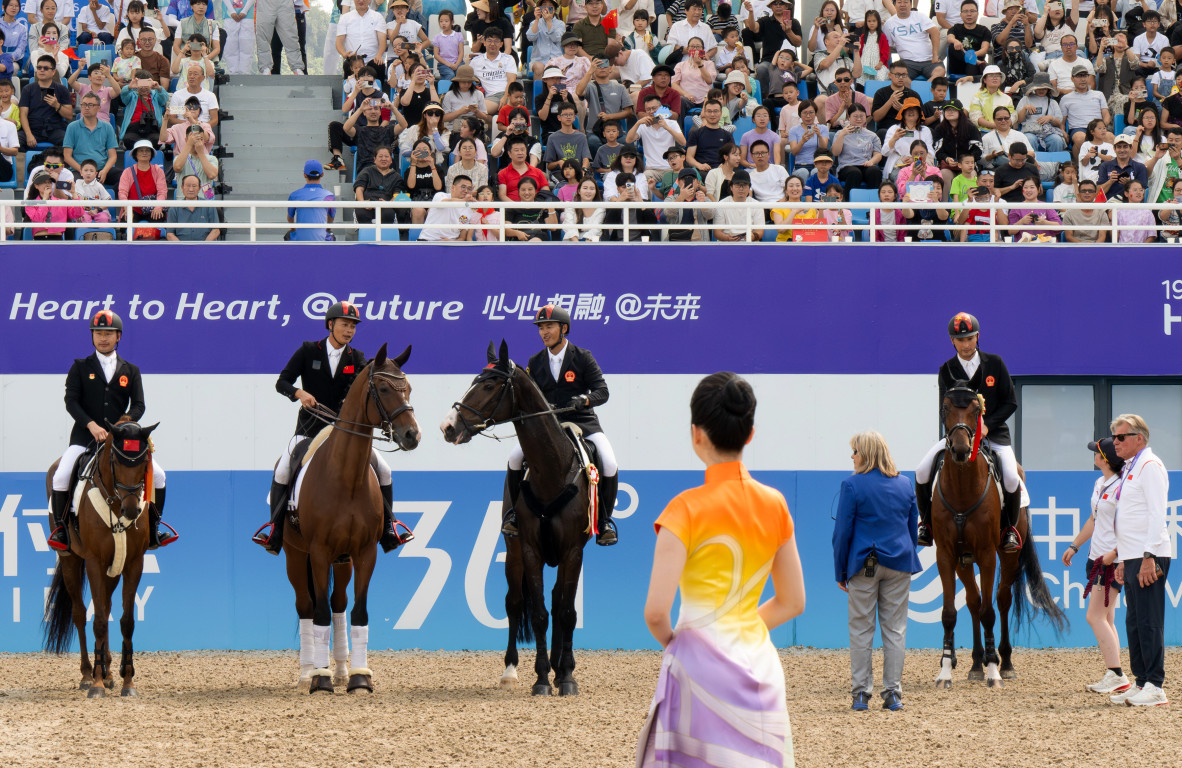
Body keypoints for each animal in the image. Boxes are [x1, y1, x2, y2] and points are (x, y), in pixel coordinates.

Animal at [44, 418, 160, 694]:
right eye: (116, 461)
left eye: (144, 462)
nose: (132, 511)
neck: (116, 504)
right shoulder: (94, 562)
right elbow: (95, 620)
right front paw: (96, 683)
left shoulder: (133, 563)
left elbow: (126, 621)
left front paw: (127, 680)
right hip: (71, 560)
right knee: (80, 613)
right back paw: (88, 675)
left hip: (113, 569)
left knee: (105, 608)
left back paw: (107, 671)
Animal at [282, 345, 420, 690]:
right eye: (383, 389)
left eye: (408, 388)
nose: (412, 434)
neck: (346, 478)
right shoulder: (318, 553)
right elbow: (318, 614)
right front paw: (320, 680)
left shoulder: (365, 552)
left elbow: (358, 613)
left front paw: (359, 677)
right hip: (295, 554)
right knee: (306, 606)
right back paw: (308, 673)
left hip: (342, 560)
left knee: (339, 604)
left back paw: (342, 671)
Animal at [442, 340, 595, 694]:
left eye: (488, 385)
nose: (449, 426)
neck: (551, 470)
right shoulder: (530, 550)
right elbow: (537, 613)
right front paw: (541, 680)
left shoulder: (573, 551)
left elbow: (566, 612)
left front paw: (566, 677)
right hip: (512, 552)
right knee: (514, 602)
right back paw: (511, 670)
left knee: (559, 602)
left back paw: (560, 666)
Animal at [931, 380, 1073, 685]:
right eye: (945, 408)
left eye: (976, 410)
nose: (960, 450)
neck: (962, 487)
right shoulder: (946, 555)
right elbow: (950, 613)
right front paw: (946, 670)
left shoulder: (987, 555)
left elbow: (989, 611)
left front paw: (994, 670)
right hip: (964, 560)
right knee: (973, 601)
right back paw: (976, 663)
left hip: (1008, 556)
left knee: (1002, 599)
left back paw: (1004, 661)